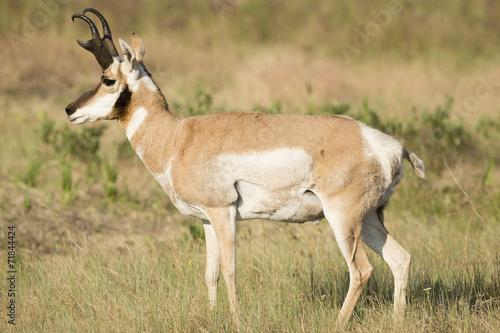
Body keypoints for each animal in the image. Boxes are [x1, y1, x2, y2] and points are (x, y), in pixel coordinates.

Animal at [66, 7, 426, 322]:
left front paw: (237, 320)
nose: (70, 109)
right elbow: (210, 272)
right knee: (400, 258)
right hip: (370, 219)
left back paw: (338, 322)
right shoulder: (206, 219)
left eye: (107, 79)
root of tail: (389, 146)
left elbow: (230, 268)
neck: (178, 138)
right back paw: (396, 320)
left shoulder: (223, 212)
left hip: (343, 219)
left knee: (361, 270)